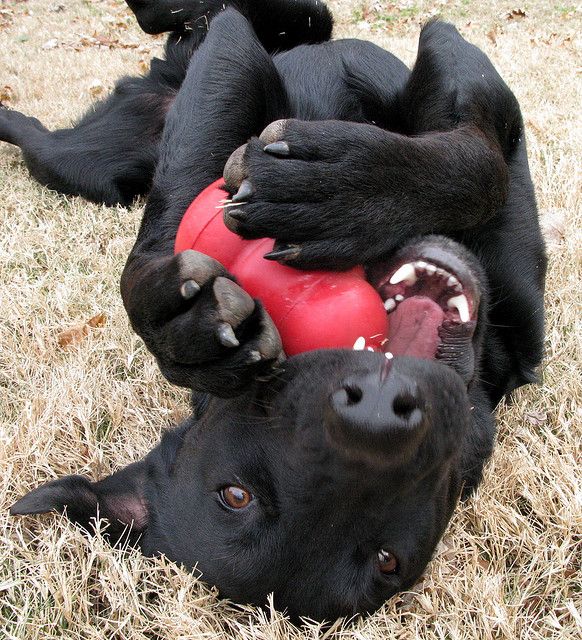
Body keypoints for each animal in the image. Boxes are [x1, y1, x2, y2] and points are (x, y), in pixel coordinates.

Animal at [3, 0, 548, 624]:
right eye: (237, 495)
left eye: (389, 561)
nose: (377, 411)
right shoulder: (222, 82)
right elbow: (168, 221)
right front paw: (181, 325)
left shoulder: (462, 70)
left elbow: (481, 153)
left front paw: (348, 189)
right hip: (84, 165)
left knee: (280, 21)